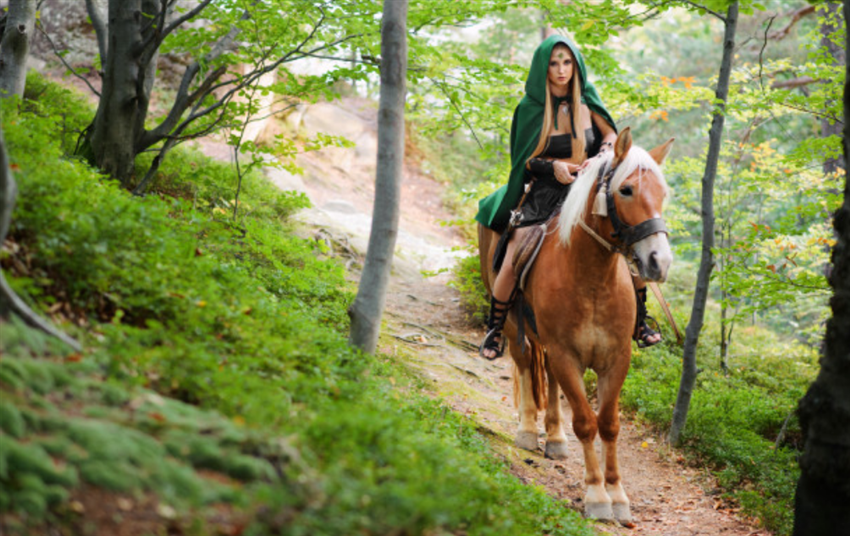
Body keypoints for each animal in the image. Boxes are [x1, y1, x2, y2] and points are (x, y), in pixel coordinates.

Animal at [476, 129, 668, 524]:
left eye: (663, 193)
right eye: (626, 190)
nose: (660, 261)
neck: (592, 278)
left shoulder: (616, 359)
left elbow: (608, 424)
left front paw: (618, 495)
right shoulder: (566, 355)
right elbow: (585, 421)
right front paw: (596, 495)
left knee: (546, 376)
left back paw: (555, 438)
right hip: (514, 327)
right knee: (523, 364)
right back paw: (529, 429)